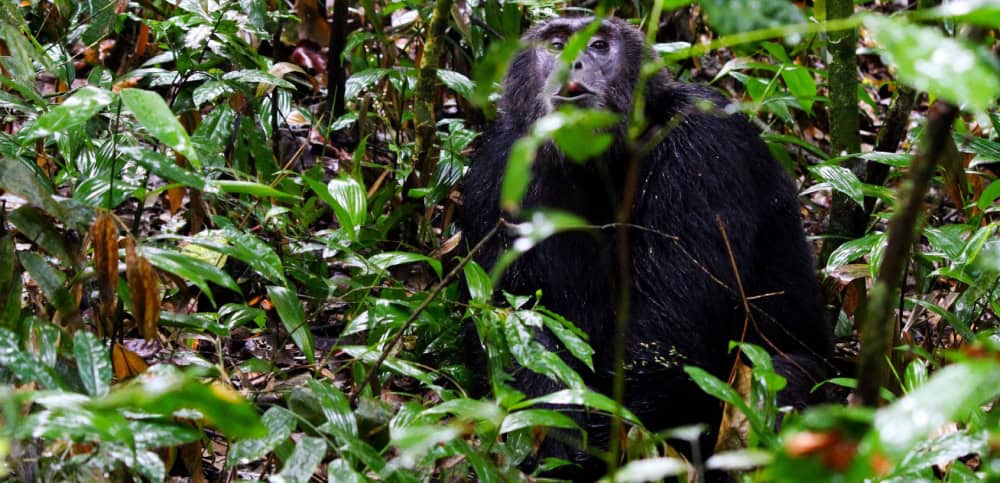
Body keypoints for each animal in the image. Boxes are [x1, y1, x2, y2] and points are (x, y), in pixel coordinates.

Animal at [460, 14, 836, 476]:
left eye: (599, 44)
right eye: (556, 43)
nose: (575, 59)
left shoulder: (703, 144)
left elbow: (670, 331)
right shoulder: (496, 172)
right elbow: (503, 318)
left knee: (777, 381)